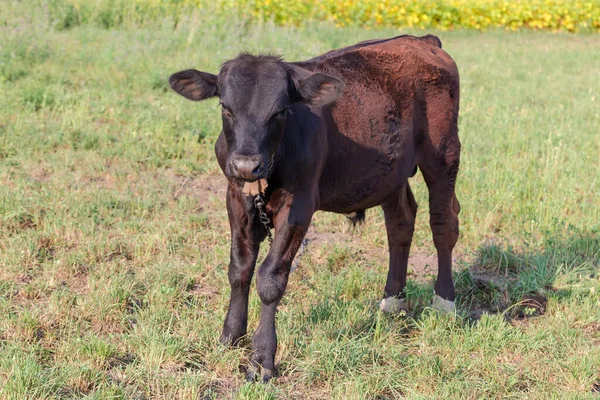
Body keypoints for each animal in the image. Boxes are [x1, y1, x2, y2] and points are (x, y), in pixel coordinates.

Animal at [169, 34, 460, 382]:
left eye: (281, 111)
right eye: (225, 107)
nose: (246, 165)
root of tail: (421, 40)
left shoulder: (300, 205)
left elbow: (270, 277)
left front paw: (262, 358)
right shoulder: (235, 197)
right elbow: (239, 268)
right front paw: (231, 336)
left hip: (443, 154)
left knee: (443, 224)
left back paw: (444, 303)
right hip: (391, 172)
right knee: (400, 223)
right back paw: (393, 302)